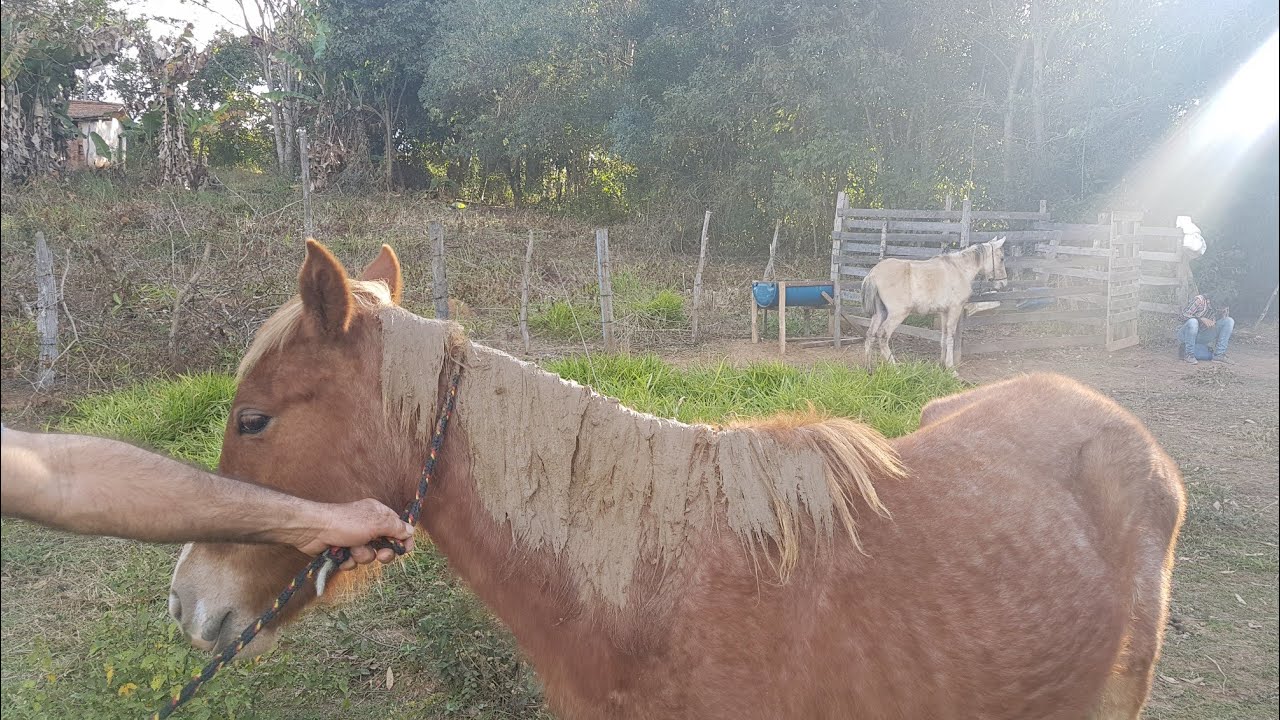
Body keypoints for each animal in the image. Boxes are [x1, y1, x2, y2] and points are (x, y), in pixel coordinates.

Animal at [862, 236, 1008, 369]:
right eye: (1001, 258)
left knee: (870, 334)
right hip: (897, 314)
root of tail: (873, 274)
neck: (959, 269)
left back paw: (868, 368)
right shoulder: (955, 309)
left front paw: (941, 364)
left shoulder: (944, 312)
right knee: (883, 335)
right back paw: (895, 368)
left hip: (880, 312)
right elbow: (950, 335)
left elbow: (944, 336)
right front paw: (950, 368)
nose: (1003, 283)